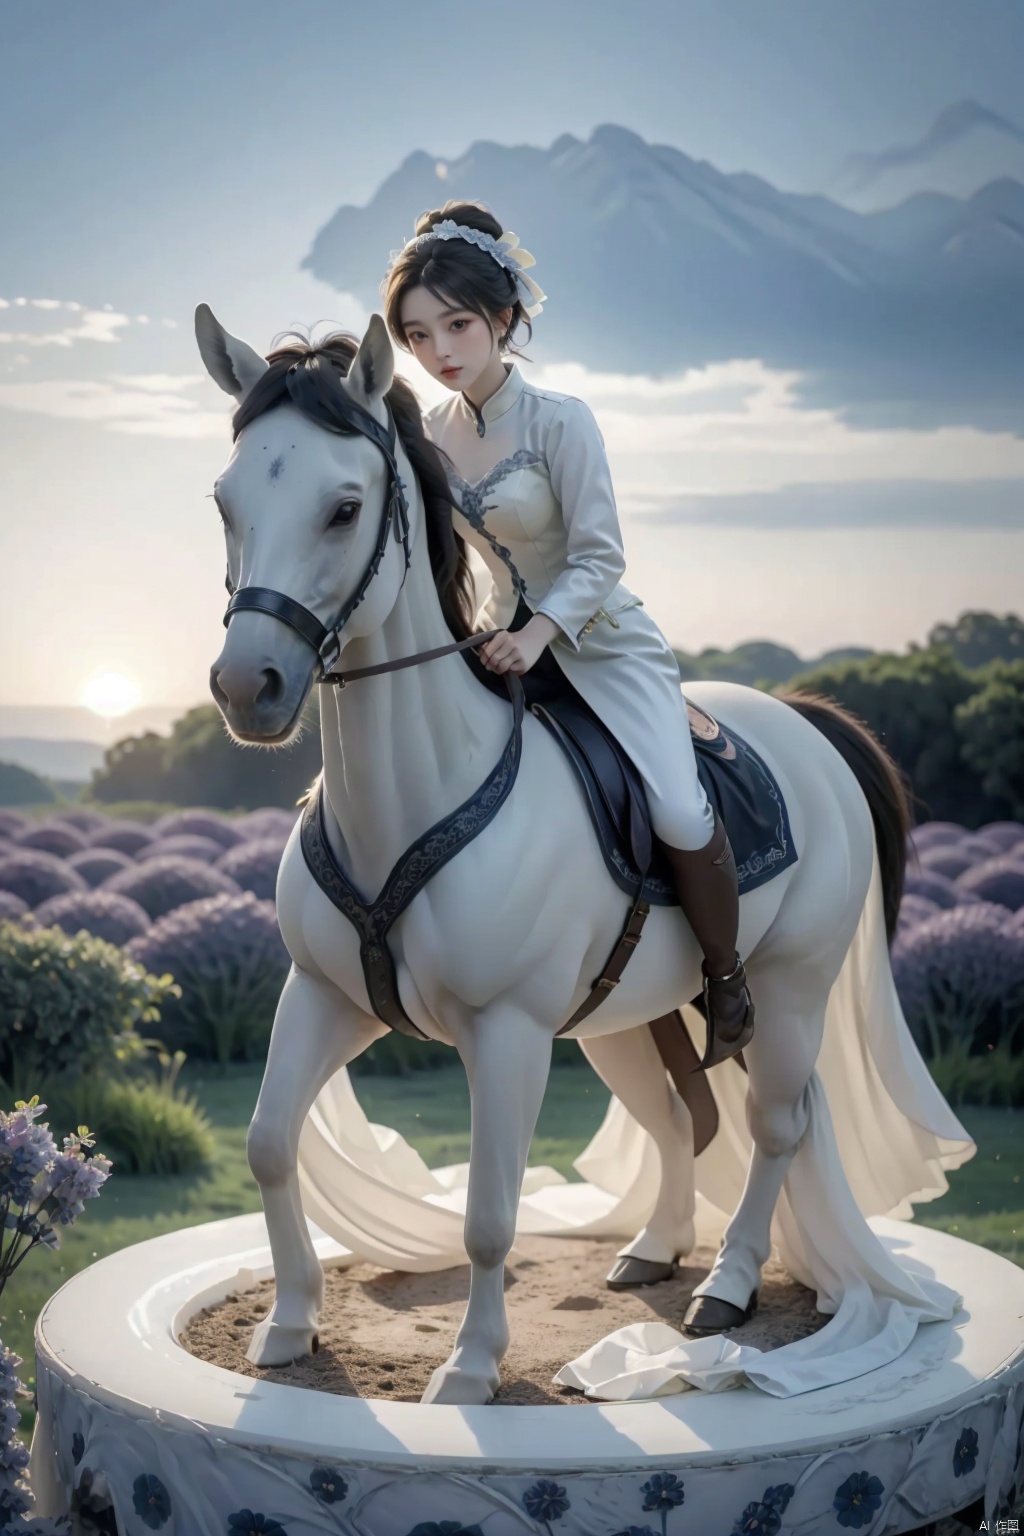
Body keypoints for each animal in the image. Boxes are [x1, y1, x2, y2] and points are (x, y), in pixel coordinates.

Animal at [198, 308, 964, 1406]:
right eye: (224, 502)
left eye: (343, 508)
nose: (245, 687)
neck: (416, 794)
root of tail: (803, 720)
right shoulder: (327, 997)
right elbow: (268, 1145)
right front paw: (290, 1322)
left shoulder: (507, 1033)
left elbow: (488, 1214)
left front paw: (471, 1368)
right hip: (621, 1020)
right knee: (682, 1118)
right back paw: (653, 1248)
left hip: (789, 989)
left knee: (777, 1125)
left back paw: (725, 1287)